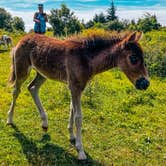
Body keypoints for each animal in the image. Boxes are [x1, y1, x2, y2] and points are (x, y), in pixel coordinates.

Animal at [7, 31, 149, 160]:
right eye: (133, 58)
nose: (145, 83)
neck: (86, 59)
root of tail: (22, 39)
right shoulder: (74, 87)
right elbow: (78, 117)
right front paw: (80, 150)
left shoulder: (77, 87)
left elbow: (72, 109)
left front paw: (72, 136)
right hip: (22, 70)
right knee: (16, 91)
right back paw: (10, 119)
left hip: (42, 73)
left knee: (32, 88)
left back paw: (44, 123)